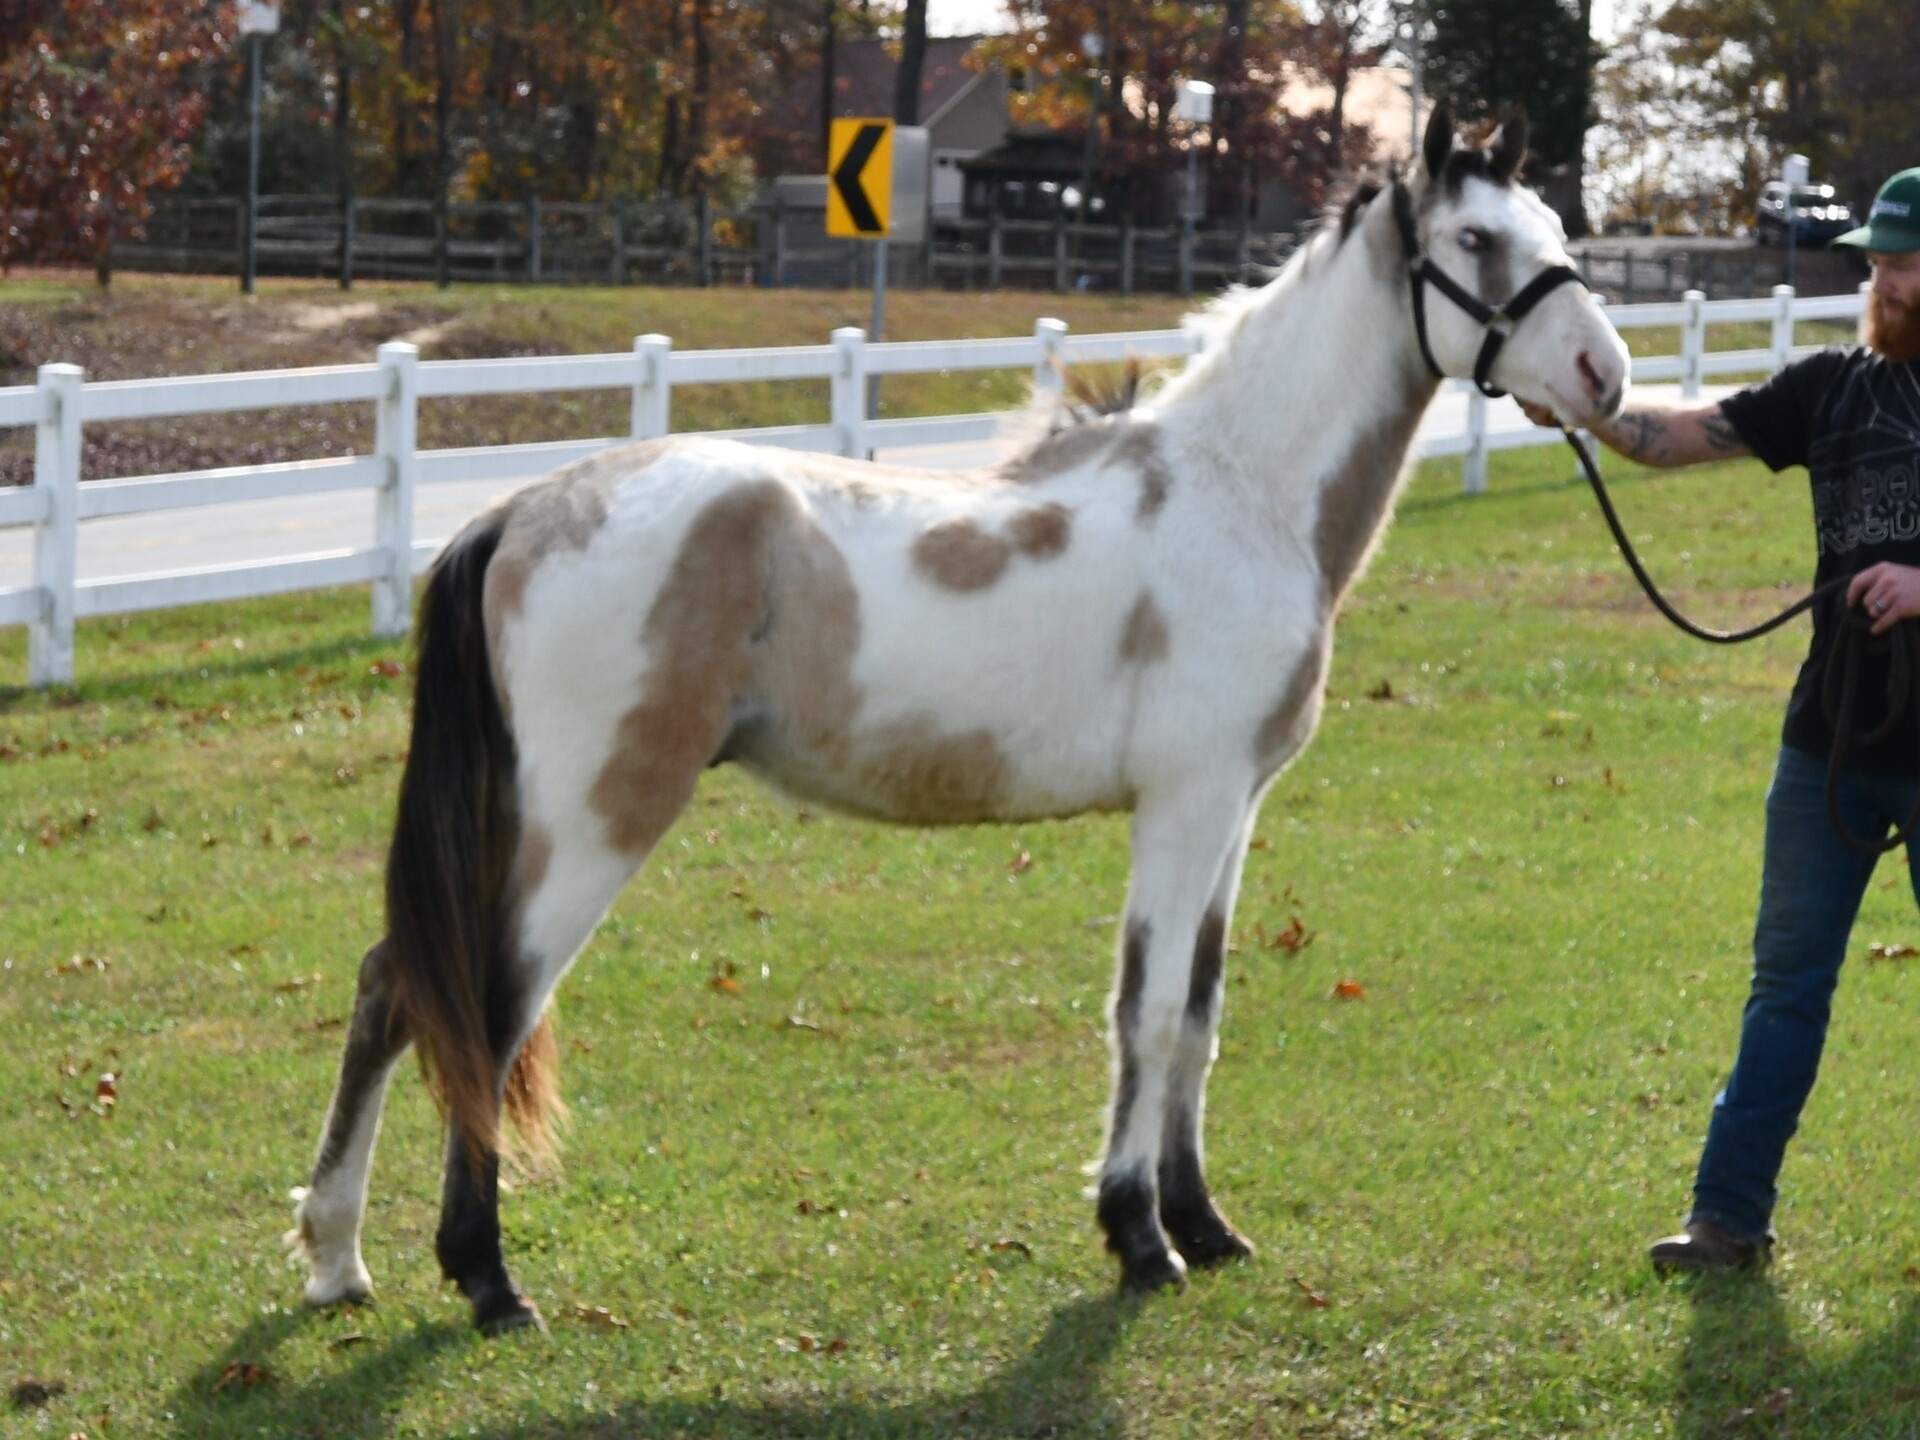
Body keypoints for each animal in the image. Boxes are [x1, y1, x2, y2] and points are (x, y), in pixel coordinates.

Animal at [289, 101, 1630, 1333]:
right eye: (1475, 237)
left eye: (1558, 227)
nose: (1605, 378)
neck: (1237, 493)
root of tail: (520, 511)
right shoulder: (1184, 808)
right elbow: (1146, 1016)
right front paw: (1140, 1238)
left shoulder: (1235, 814)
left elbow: (1199, 1018)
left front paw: (1204, 1223)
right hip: (592, 821)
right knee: (486, 1008)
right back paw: (486, 1279)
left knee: (395, 988)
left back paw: (337, 1260)